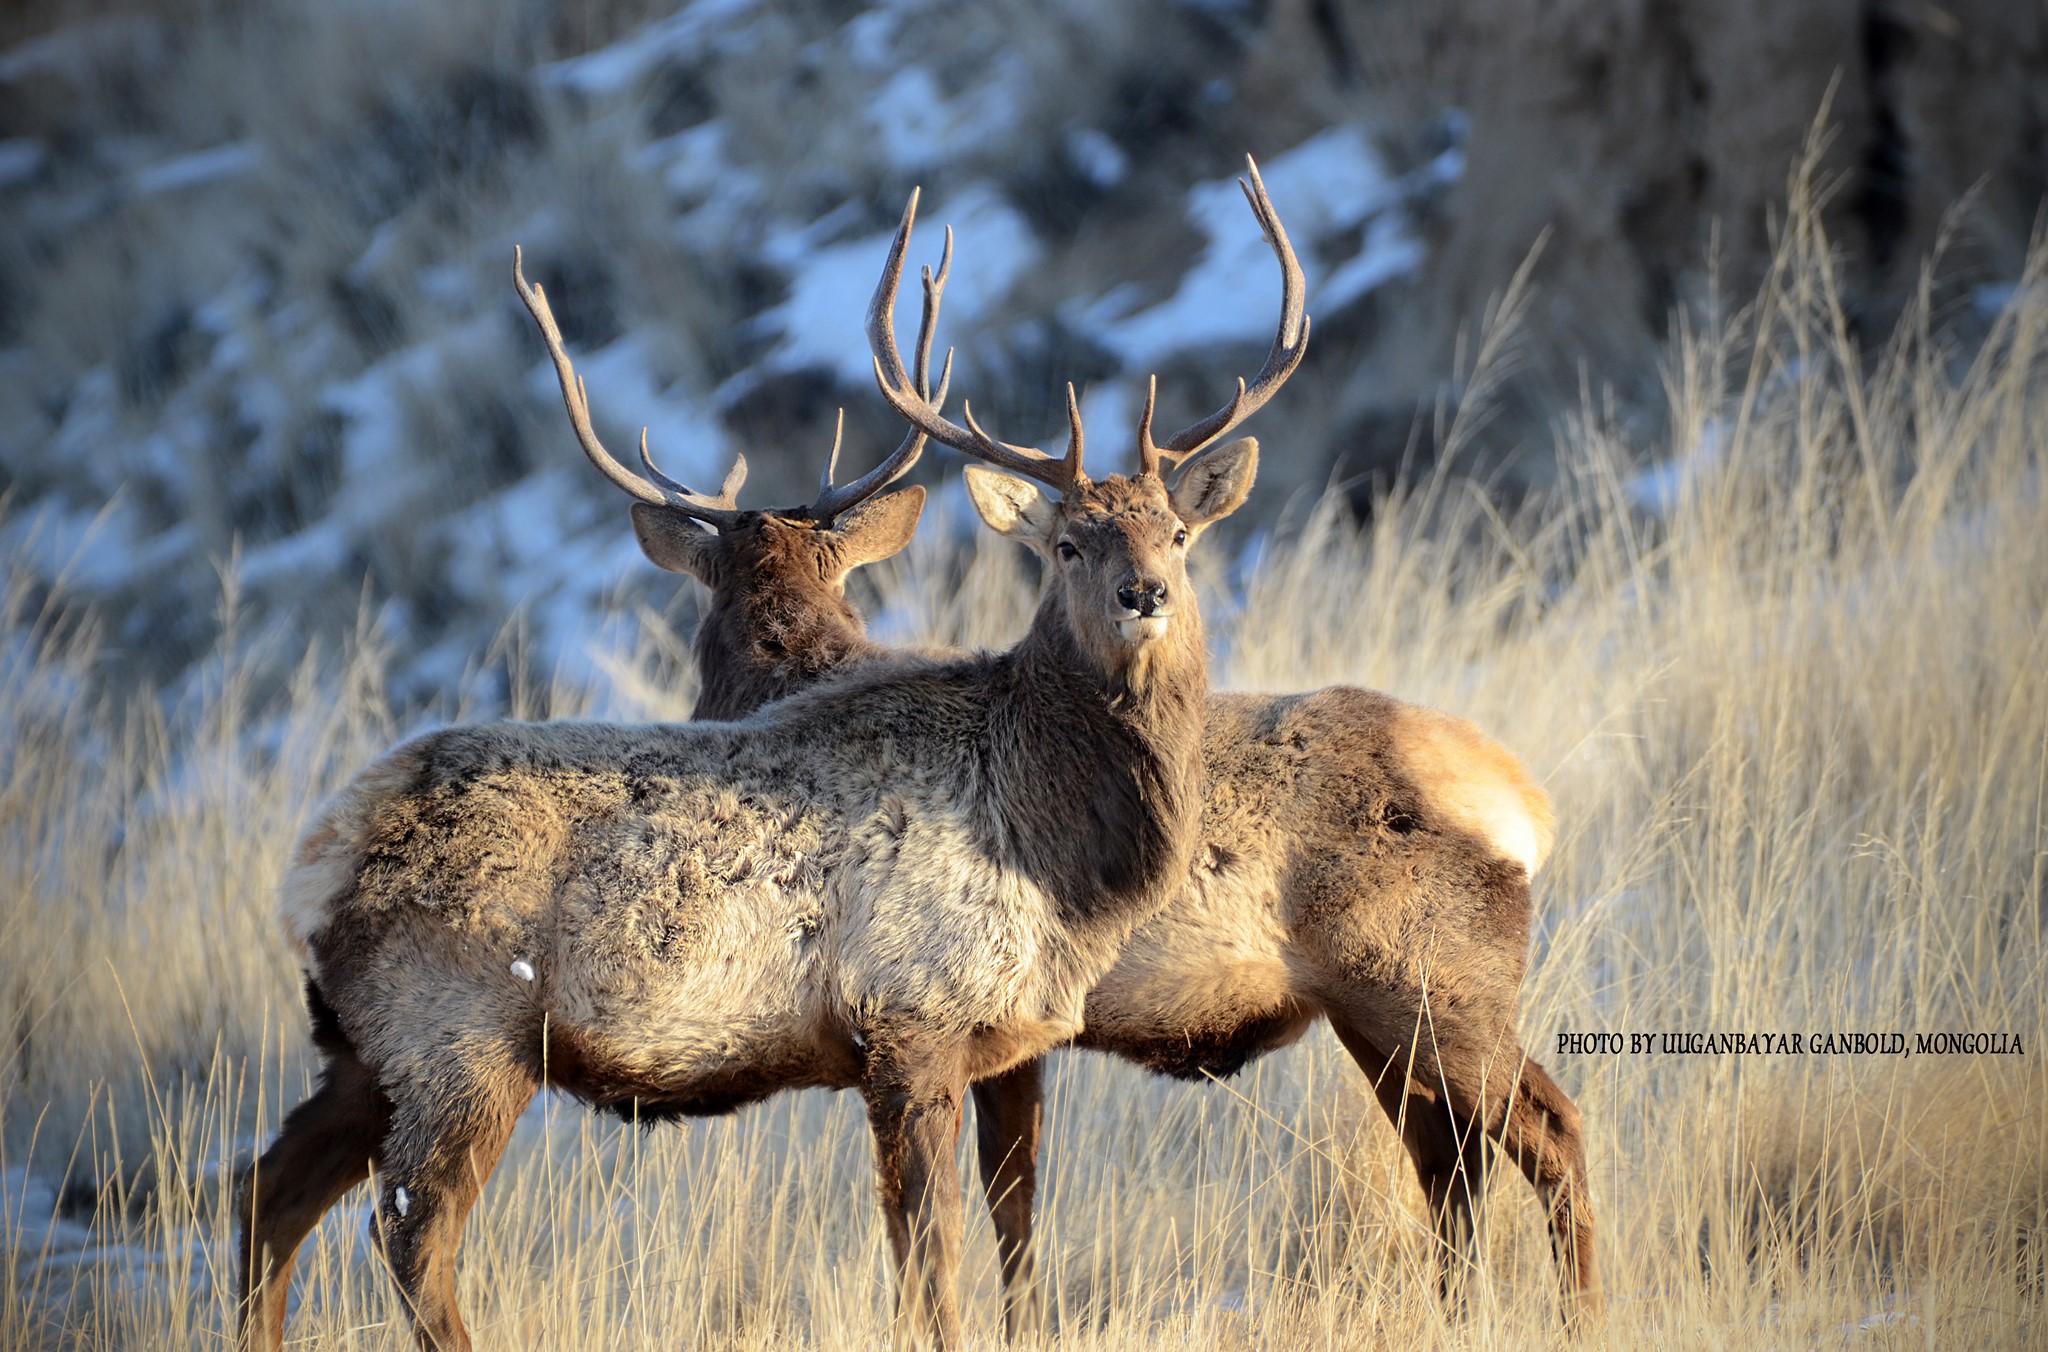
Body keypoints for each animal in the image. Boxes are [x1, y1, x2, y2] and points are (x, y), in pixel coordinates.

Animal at [232, 227, 1262, 1351]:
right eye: (1068, 542)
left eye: (1178, 534)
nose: (1144, 595)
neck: (1054, 852)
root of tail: (308, 867)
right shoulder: (910, 1018)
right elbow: (931, 1259)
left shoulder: (987, 1040)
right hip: (454, 1032)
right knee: (410, 1229)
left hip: (363, 1048)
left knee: (265, 1191)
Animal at [536, 161, 1603, 1336]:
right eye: (1066, 542)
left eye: (1177, 532)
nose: (1147, 590)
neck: (794, 672)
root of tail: (1524, 801)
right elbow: (1013, 1214)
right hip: (1378, 1006)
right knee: (1447, 1156)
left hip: (1434, 971)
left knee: (1546, 1129)